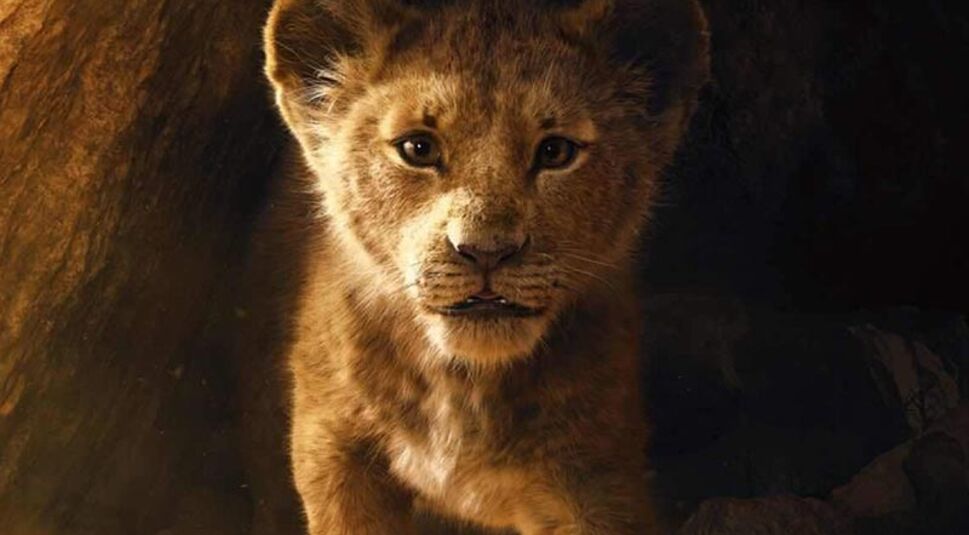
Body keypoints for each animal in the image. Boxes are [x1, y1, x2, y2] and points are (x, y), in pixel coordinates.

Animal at [260, 0, 709, 533]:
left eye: (555, 151)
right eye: (418, 148)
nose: (486, 250)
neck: (463, 387)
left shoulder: (597, 477)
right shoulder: (333, 450)